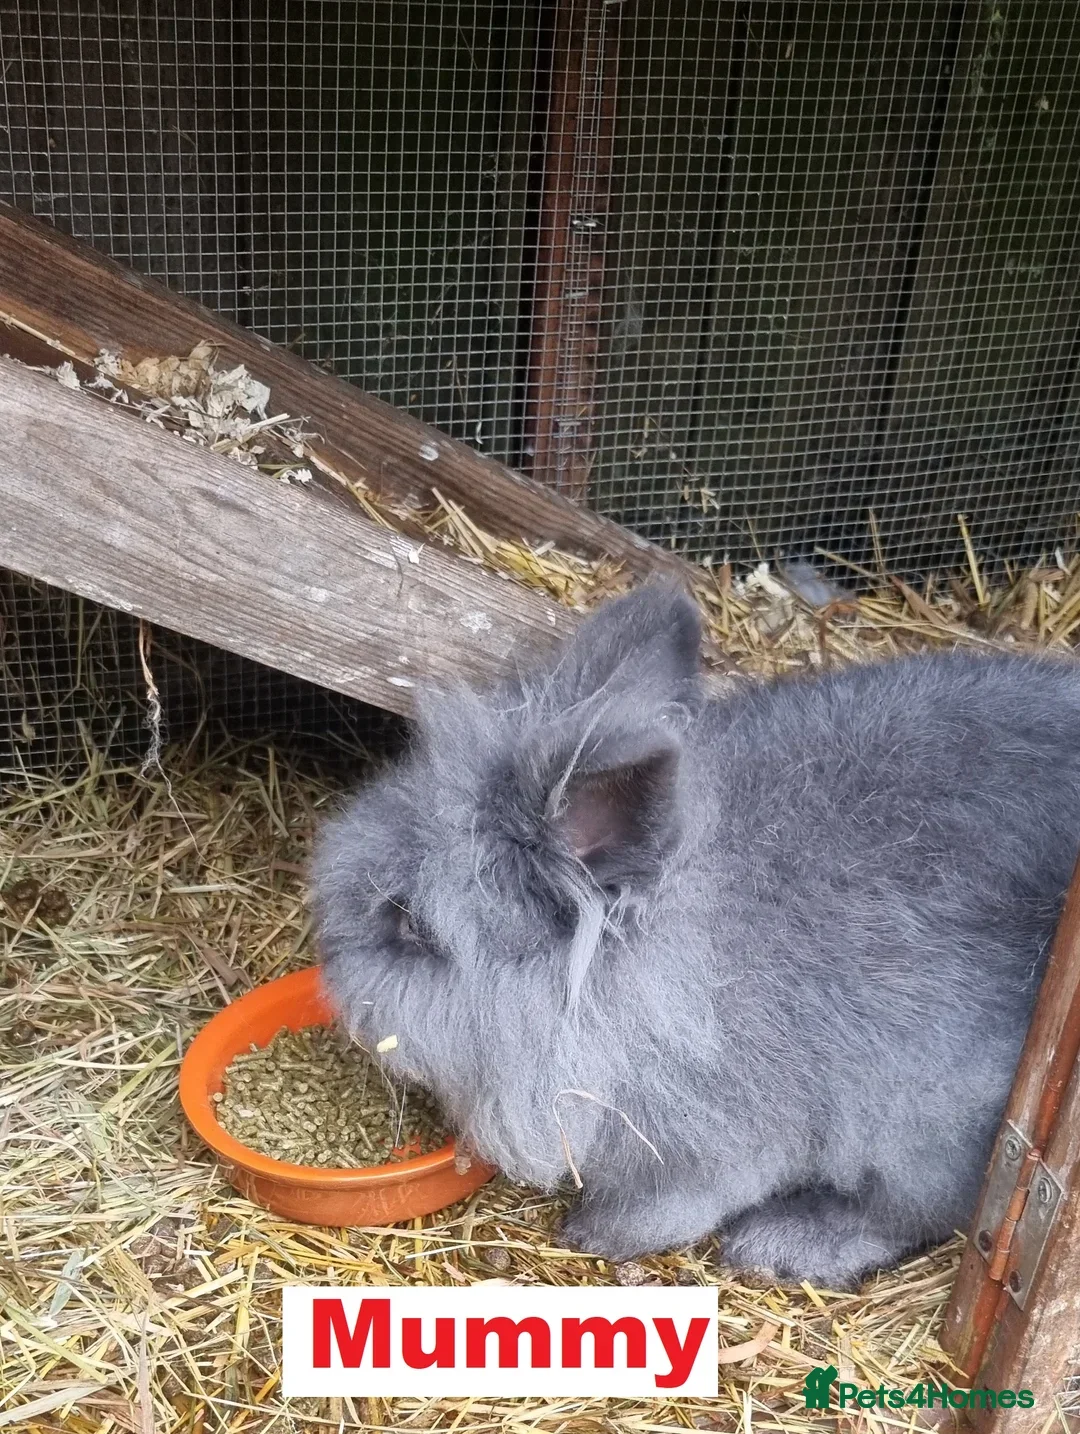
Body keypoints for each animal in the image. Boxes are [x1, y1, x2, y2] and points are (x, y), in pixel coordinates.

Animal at [311, 581, 1080, 1289]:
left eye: (411, 926)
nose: (326, 958)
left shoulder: (725, 1139)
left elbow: (681, 1200)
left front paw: (597, 1233)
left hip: (931, 1119)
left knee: (914, 1211)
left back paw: (783, 1244)